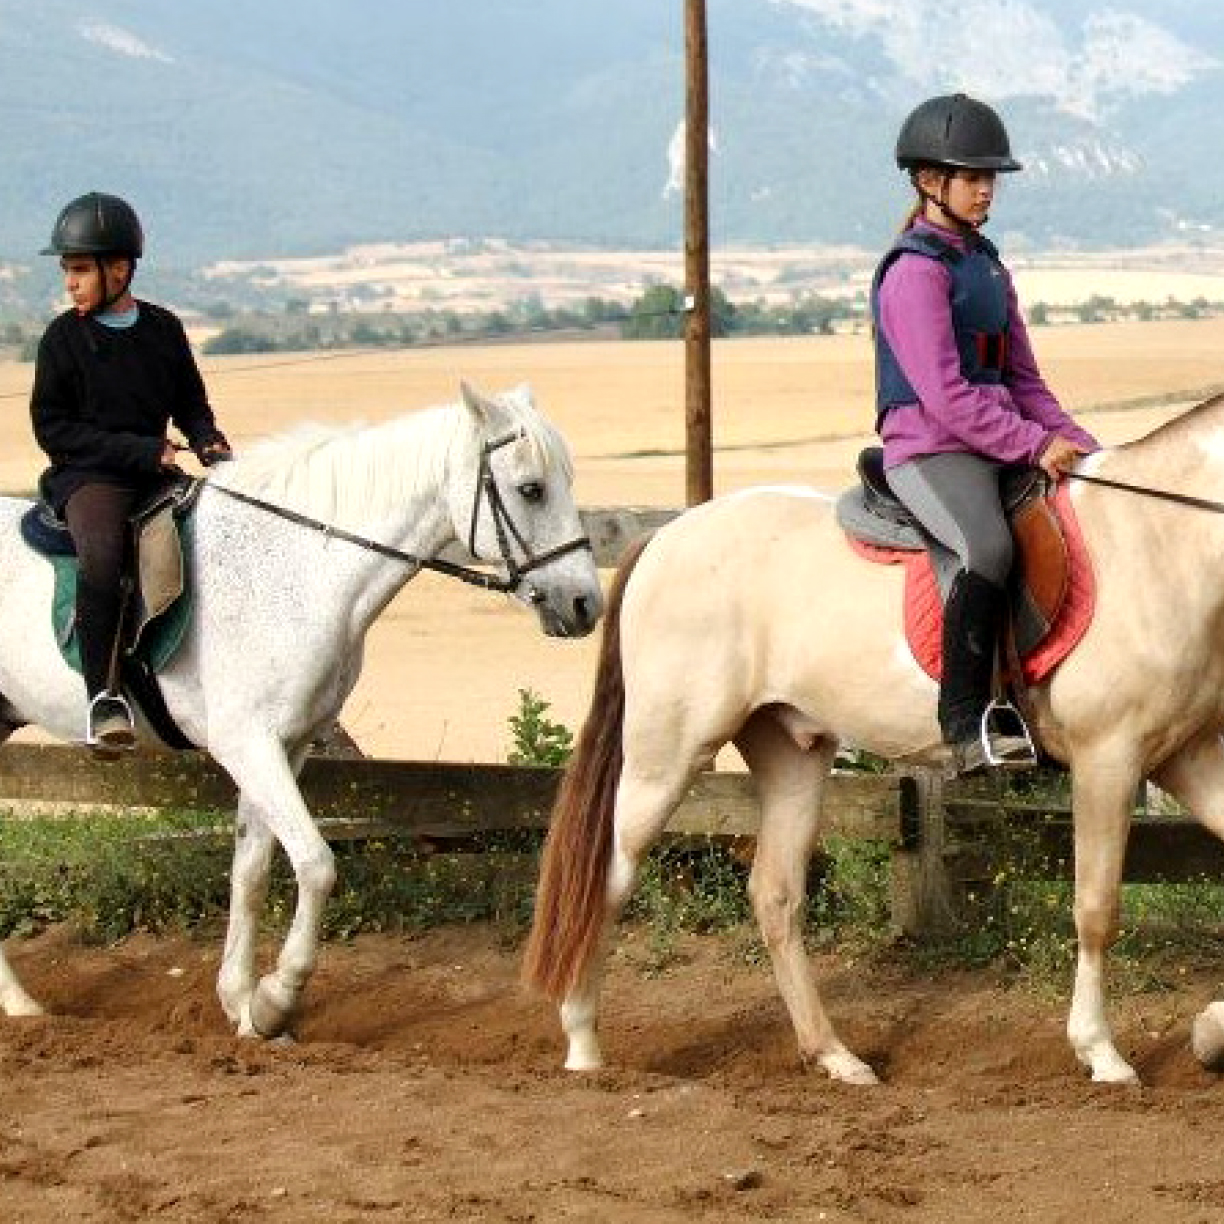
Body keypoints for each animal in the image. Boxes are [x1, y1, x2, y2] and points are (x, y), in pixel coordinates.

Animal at [0, 379, 602, 1033]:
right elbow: (315, 863)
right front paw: (275, 999)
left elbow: (252, 871)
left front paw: (240, 1002)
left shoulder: (286, 746)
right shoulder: (248, 745)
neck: (298, 568)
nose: (585, 605)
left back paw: (18, 1002)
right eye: (531, 488)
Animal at [528, 389, 1224, 1082]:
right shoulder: (1108, 757)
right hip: (666, 754)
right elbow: (1097, 908)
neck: (1156, 541)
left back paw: (835, 1056)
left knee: (776, 896)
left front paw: (1212, 1026)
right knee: (609, 879)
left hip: (791, 754)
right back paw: (583, 1044)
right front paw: (1102, 1053)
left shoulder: (1184, 757)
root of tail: (666, 536)